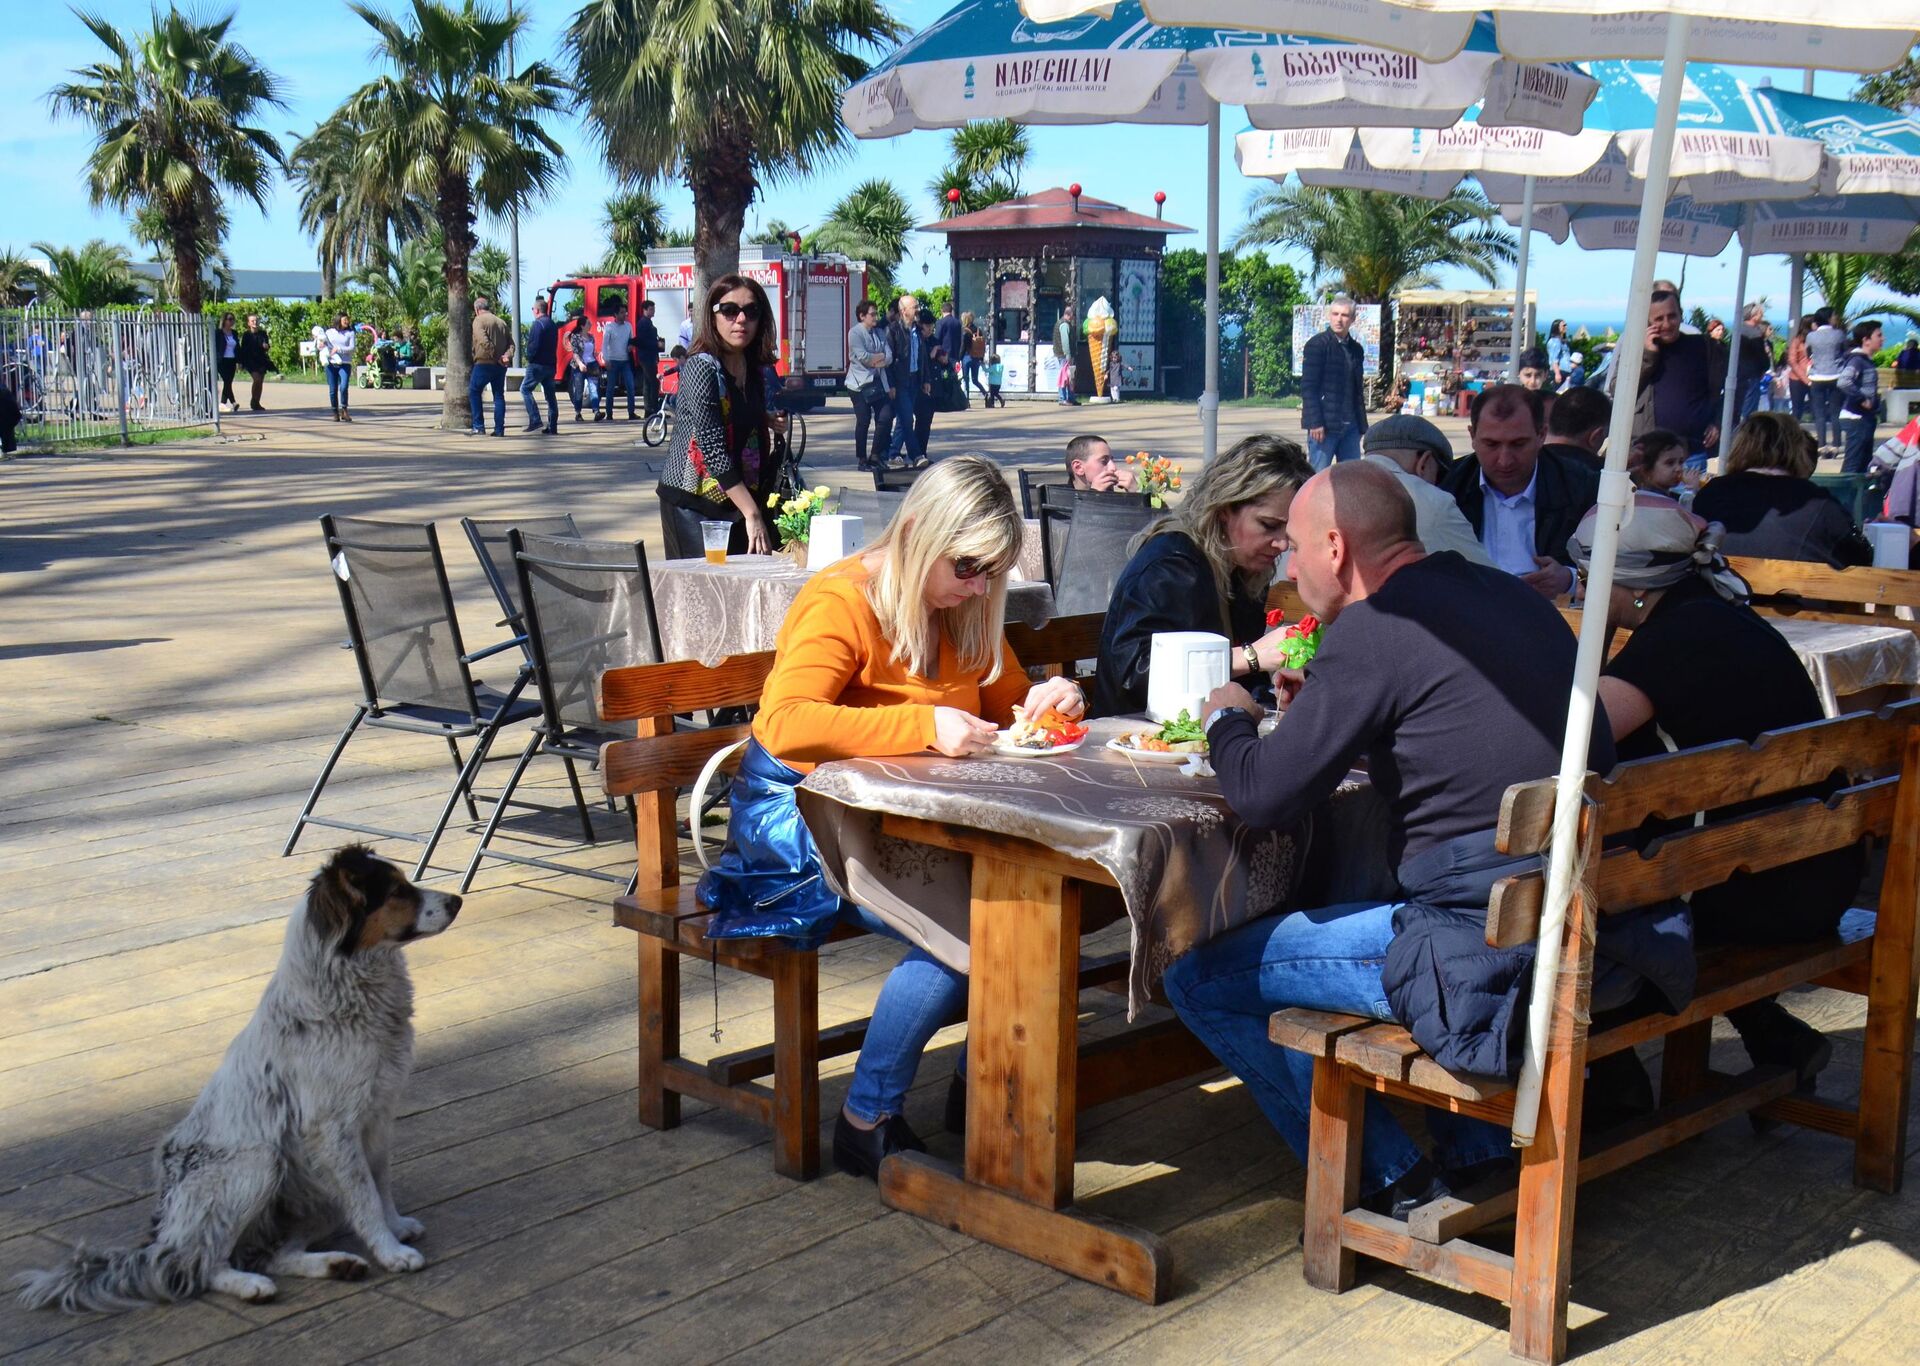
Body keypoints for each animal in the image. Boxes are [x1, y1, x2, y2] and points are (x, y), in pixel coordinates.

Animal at [19, 849, 460, 1306]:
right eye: (396, 892)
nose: (457, 901)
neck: (346, 997)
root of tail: (160, 1236)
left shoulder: (376, 1114)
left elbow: (381, 1181)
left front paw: (396, 1226)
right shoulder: (333, 1129)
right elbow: (366, 1196)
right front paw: (391, 1252)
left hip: (309, 1188)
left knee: (271, 1254)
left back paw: (336, 1264)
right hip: (263, 1162)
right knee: (198, 1263)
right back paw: (250, 1285)